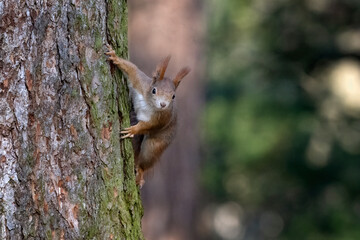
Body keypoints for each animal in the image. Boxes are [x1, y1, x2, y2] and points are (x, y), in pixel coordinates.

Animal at [105, 44, 191, 188]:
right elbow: (132, 70)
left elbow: (148, 125)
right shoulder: (140, 83)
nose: (163, 104)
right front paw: (115, 57)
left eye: (173, 96)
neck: (150, 104)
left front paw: (133, 129)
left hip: (155, 144)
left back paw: (140, 172)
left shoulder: (162, 118)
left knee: (146, 160)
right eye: (154, 90)